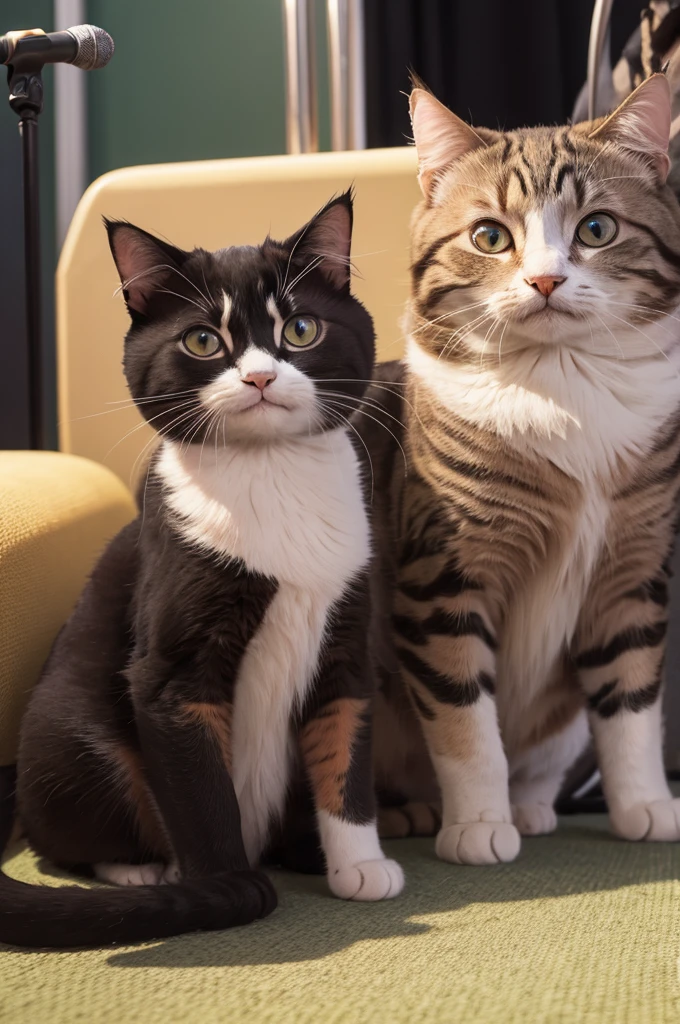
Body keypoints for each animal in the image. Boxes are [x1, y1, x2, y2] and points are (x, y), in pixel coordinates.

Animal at [0, 188, 403, 946]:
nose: (260, 375)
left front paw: (360, 863)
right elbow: (201, 791)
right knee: (62, 839)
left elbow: (345, 747)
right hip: (67, 735)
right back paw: (140, 870)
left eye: (301, 328)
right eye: (202, 341)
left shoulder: (346, 633)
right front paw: (223, 890)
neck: (271, 474)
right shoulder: (171, 673)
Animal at [366, 72, 680, 860]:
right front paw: (479, 823)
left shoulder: (632, 570)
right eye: (490, 237)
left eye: (596, 229)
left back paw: (532, 807)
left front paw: (646, 806)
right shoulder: (443, 579)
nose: (544, 281)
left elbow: (631, 703)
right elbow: (464, 720)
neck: (564, 385)